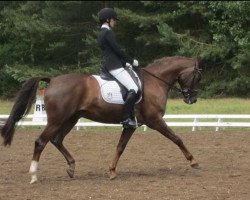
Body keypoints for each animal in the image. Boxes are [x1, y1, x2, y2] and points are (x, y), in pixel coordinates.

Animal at [0, 55, 201, 184]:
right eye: (197, 77)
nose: (192, 99)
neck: (155, 81)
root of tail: (53, 80)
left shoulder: (131, 125)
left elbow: (120, 147)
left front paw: (112, 171)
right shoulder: (155, 120)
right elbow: (177, 138)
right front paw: (193, 162)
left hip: (71, 119)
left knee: (57, 140)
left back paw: (71, 167)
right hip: (57, 120)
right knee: (41, 141)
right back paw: (34, 175)